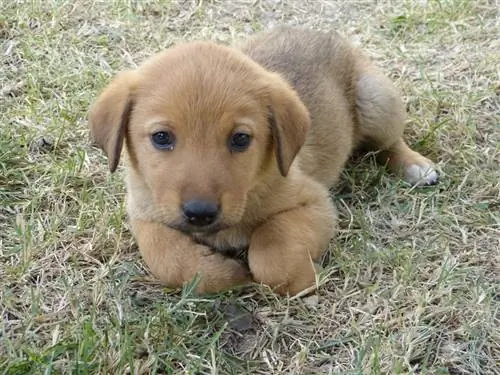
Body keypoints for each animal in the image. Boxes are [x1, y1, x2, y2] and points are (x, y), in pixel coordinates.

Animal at [89, 27, 438, 296]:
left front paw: (303, 281)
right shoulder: (143, 212)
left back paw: (416, 166)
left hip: (376, 100)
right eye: (161, 137)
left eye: (240, 139)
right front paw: (221, 274)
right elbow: (166, 257)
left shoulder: (314, 203)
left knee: (390, 142)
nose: (200, 213)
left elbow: (273, 253)